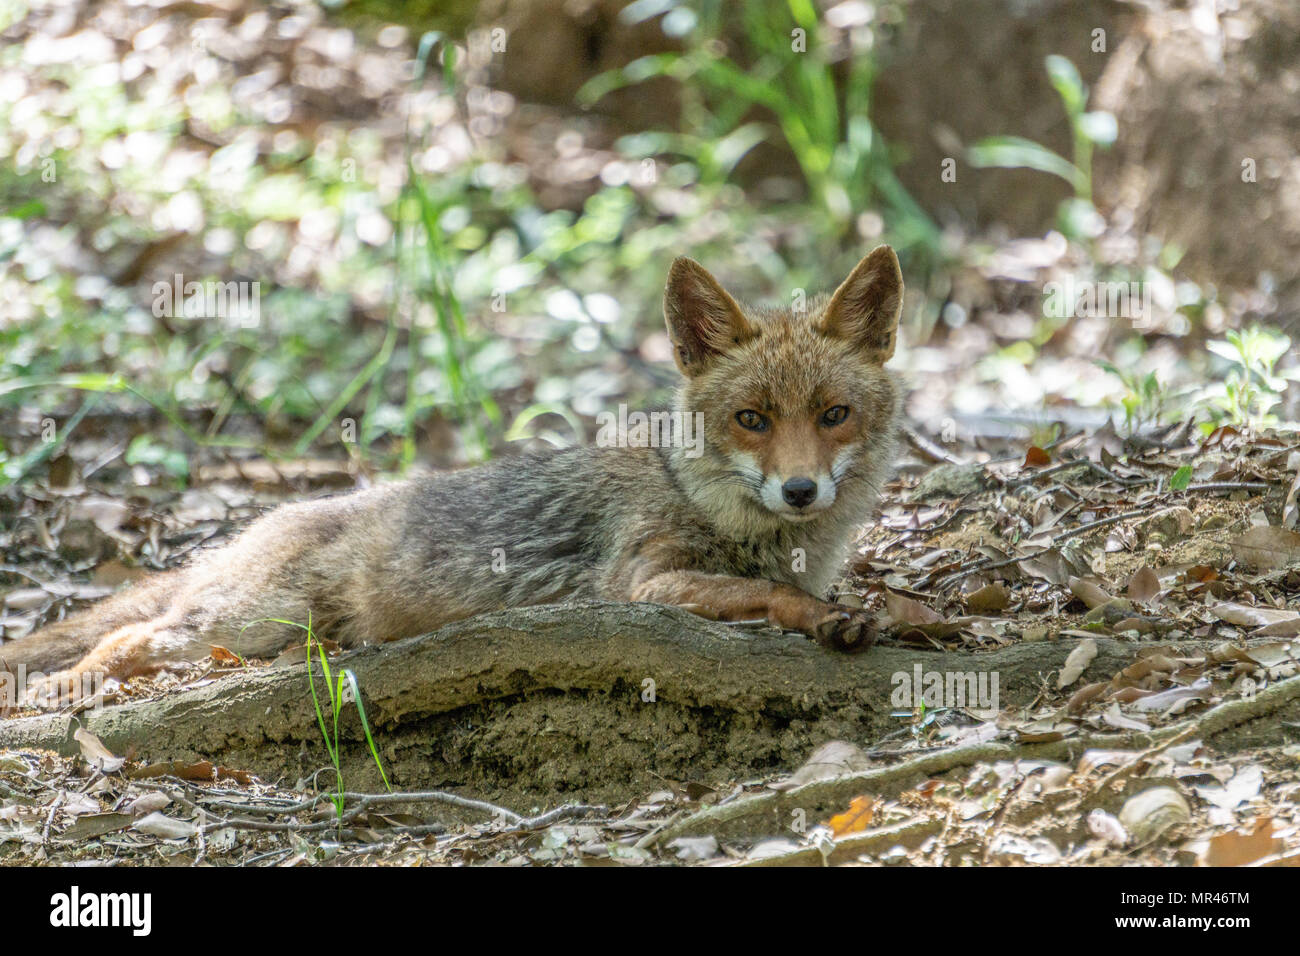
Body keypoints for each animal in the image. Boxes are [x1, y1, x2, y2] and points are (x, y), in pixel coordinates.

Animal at [2, 247, 904, 712]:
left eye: (833, 415)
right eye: (752, 419)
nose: (800, 491)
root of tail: (257, 525)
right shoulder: (642, 583)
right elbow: (771, 596)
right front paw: (827, 619)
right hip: (250, 624)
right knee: (128, 637)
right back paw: (66, 687)